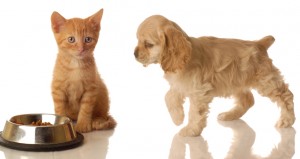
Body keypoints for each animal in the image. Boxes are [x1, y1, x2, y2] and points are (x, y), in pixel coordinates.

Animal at [134, 15, 296, 137]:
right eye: (138, 40)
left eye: (148, 44)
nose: (134, 54)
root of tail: (259, 43)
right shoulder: (180, 85)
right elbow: (168, 97)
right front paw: (178, 118)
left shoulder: (199, 92)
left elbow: (195, 112)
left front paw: (190, 130)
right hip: (236, 81)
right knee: (248, 100)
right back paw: (229, 115)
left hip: (265, 80)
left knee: (286, 95)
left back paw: (287, 120)